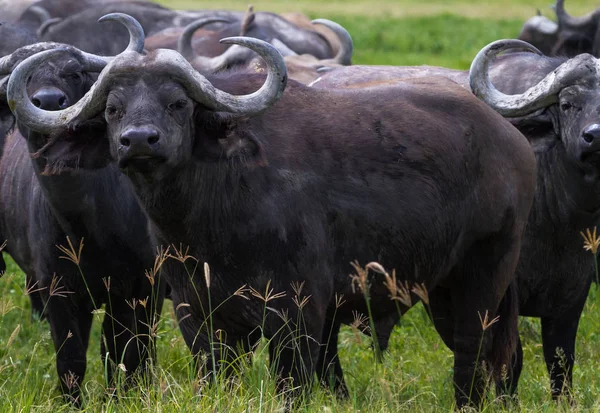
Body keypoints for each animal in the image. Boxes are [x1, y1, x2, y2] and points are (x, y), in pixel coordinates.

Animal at [0, 13, 164, 402]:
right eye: (21, 77)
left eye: (73, 74)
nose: (48, 100)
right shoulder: (59, 291)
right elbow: (71, 358)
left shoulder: (138, 288)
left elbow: (124, 350)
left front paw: (124, 394)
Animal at [8, 34, 536, 406]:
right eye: (114, 109)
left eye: (178, 103)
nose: (139, 140)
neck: (209, 220)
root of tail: (512, 139)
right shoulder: (198, 317)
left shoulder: (298, 317)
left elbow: (293, 385)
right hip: (443, 288)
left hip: (483, 278)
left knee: (472, 354)